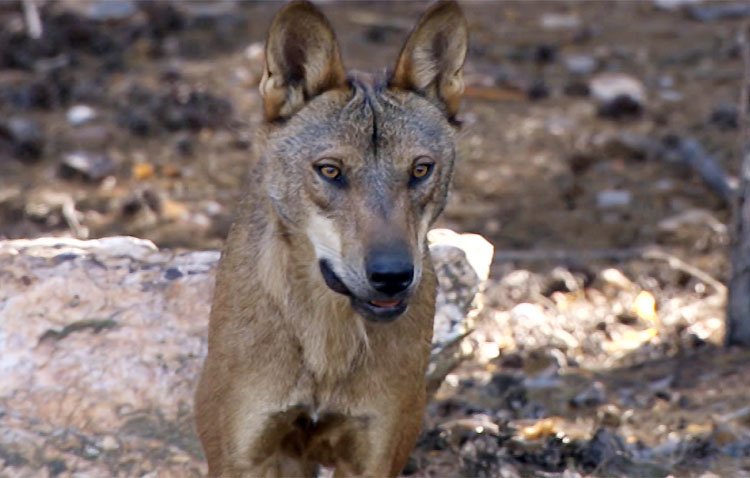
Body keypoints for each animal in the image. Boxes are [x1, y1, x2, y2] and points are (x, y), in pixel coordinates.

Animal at [194, 1, 468, 476]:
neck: (326, 345)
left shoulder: (376, 457)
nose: (392, 276)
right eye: (330, 170)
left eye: (420, 170)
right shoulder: (240, 457)